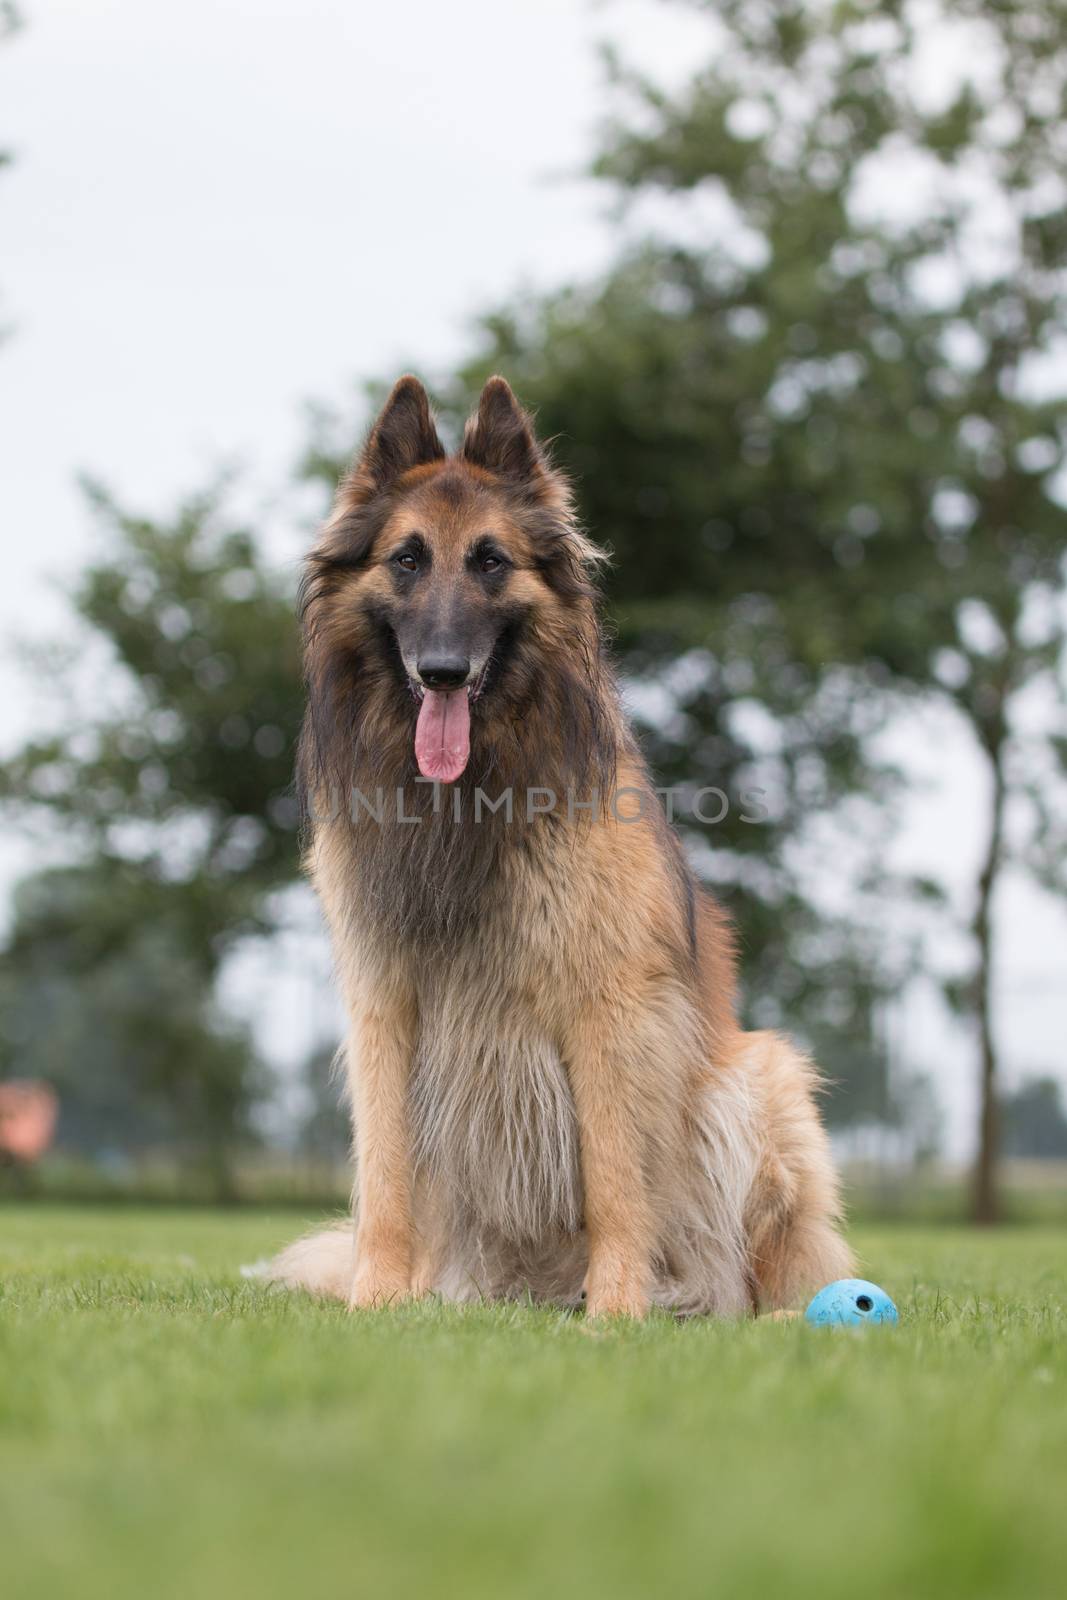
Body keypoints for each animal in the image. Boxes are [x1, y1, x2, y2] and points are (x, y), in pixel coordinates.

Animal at [271, 374, 857, 1312]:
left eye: (490, 561)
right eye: (406, 560)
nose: (441, 671)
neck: (466, 801)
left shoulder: (608, 1008)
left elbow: (615, 1177)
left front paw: (614, 1312)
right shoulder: (383, 1005)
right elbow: (385, 1175)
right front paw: (377, 1301)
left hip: (759, 1083)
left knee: (759, 1268)